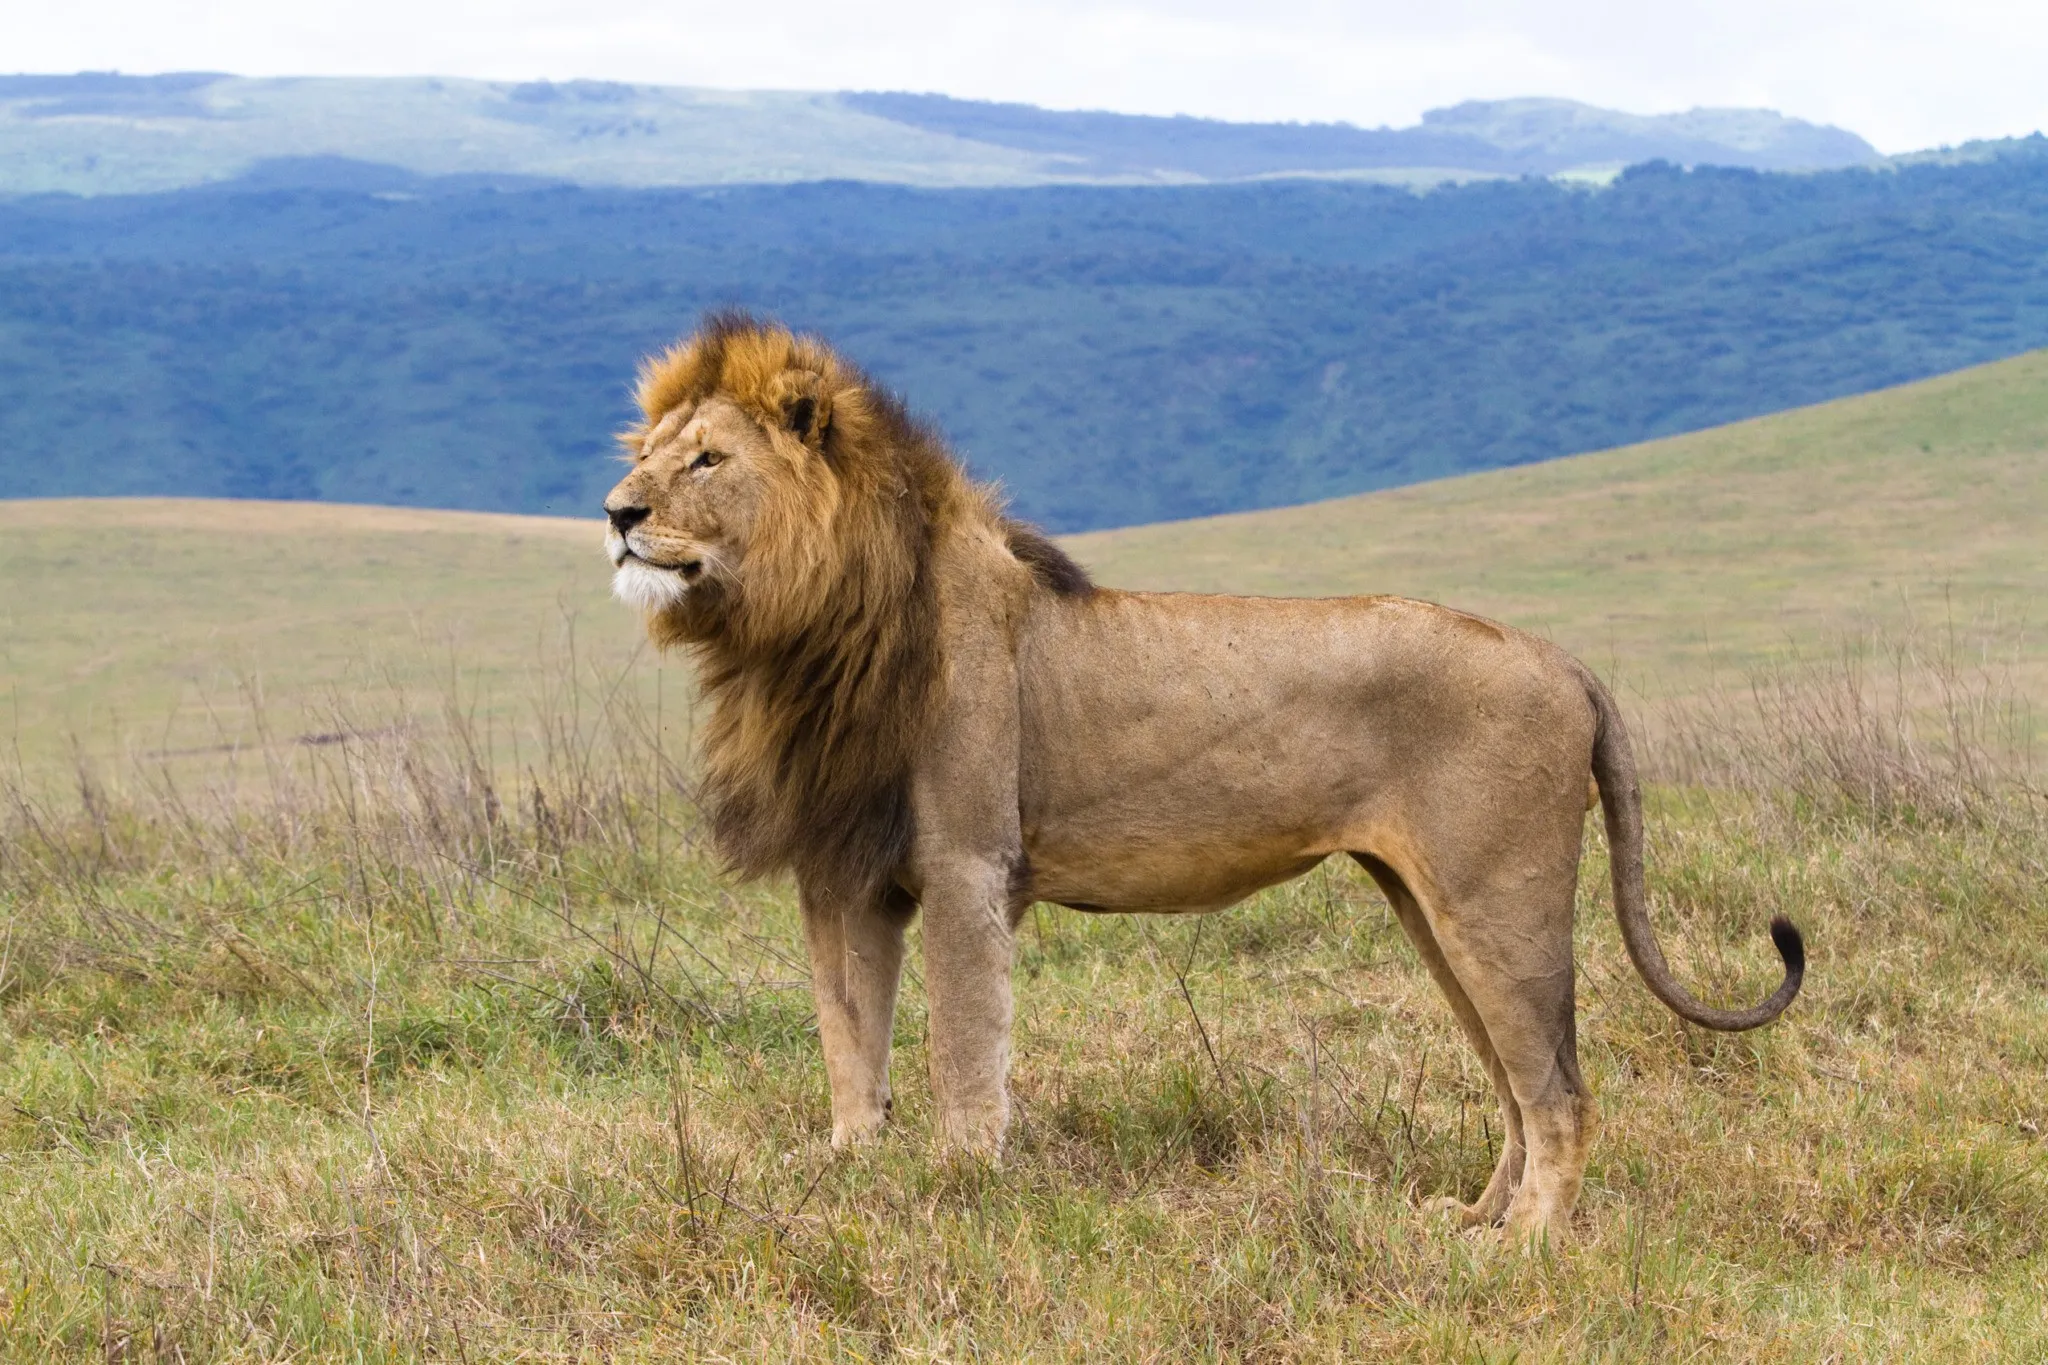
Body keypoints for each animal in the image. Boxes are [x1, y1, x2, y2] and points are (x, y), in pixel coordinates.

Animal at [602, 313, 1804, 1241]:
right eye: (650, 449)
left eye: (707, 461)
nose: (617, 513)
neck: (797, 634)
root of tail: (1564, 659)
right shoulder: (842, 871)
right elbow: (850, 1042)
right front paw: (847, 1172)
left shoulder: (966, 865)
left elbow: (961, 1053)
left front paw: (959, 1187)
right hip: (1430, 907)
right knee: (1516, 1086)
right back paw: (1469, 1221)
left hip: (1496, 898)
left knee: (1559, 1091)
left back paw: (1525, 1246)